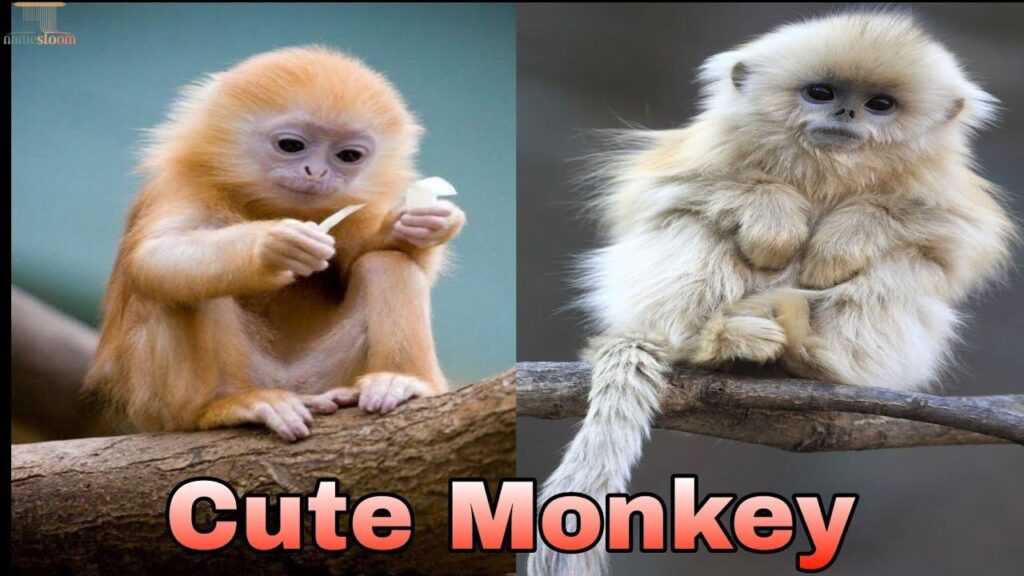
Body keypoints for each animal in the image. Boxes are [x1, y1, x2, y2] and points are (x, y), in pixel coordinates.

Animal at [84, 46, 466, 442]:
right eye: (291, 146)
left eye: (348, 156)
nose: (316, 172)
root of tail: (290, 384)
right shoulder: (182, 188)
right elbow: (155, 256)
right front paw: (273, 247)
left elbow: (375, 253)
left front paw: (418, 224)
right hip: (164, 404)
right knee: (184, 287)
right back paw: (228, 404)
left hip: (326, 374)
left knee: (385, 263)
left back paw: (401, 380)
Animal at [530, 13, 1014, 574]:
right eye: (821, 93)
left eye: (880, 104)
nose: (846, 111)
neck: (827, 168)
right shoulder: (698, 154)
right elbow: (657, 193)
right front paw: (774, 222)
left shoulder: (947, 194)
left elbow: (952, 238)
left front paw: (840, 241)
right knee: (693, 225)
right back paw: (716, 343)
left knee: (905, 265)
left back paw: (812, 357)